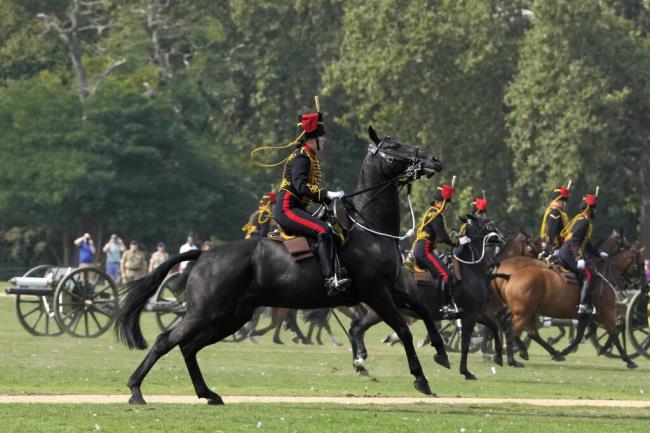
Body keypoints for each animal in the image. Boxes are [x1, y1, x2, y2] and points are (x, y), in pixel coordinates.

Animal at [115, 126, 443, 404]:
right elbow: (403, 330)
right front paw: (421, 379)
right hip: (204, 312)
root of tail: (204, 255)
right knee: (165, 340)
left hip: (232, 316)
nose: (434, 159)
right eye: (394, 146)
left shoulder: (389, 290)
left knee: (189, 347)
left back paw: (207, 393)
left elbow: (425, 311)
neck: (368, 227)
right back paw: (135, 390)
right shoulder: (375, 292)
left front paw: (441, 353)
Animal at [348, 214, 505, 380]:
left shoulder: (474, 312)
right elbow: (465, 344)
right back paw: (360, 360)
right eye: (489, 224)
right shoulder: (470, 314)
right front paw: (466, 372)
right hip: (379, 310)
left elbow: (493, 325)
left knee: (354, 329)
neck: (468, 268)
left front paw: (498, 357)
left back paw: (359, 365)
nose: (502, 238)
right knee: (357, 329)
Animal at [492, 231, 642, 369]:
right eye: (640, 260)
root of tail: (509, 274)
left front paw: (568, 350)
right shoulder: (607, 314)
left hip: (527, 312)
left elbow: (583, 333)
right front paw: (627, 360)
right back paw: (513, 358)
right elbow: (614, 333)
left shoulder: (585, 316)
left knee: (525, 330)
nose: (640, 284)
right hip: (524, 313)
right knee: (513, 330)